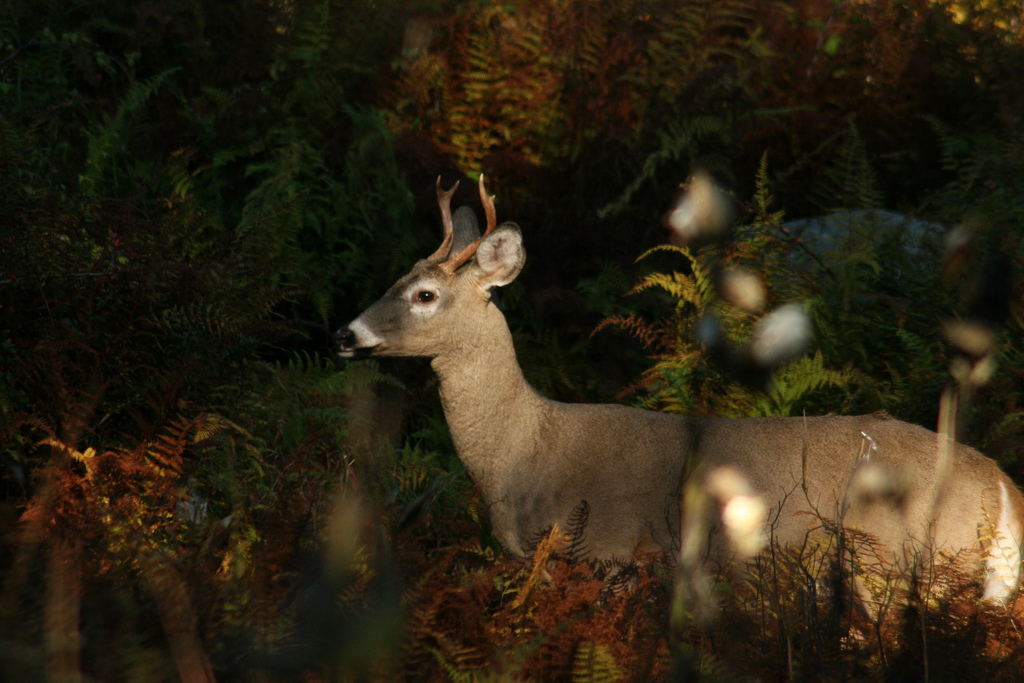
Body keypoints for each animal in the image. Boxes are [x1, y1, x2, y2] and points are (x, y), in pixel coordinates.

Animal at [337, 178, 1024, 602]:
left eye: (425, 295)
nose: (346, 333)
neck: (521, 454)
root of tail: (1004, 489)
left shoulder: (609, 552)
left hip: (900, 562)